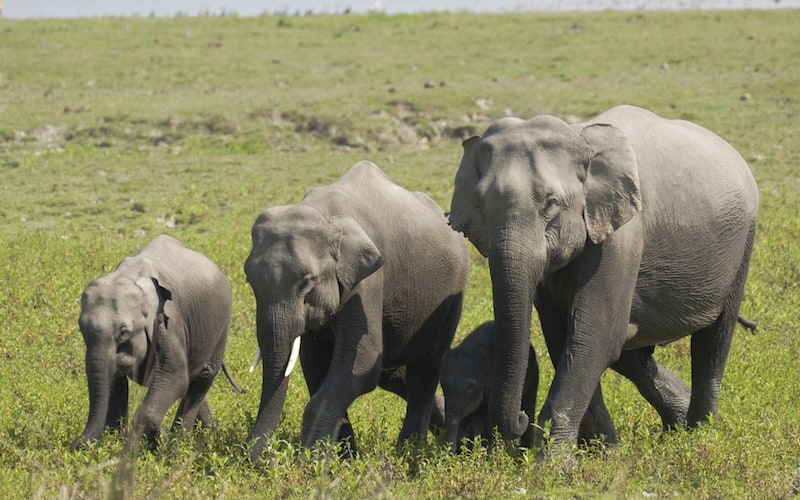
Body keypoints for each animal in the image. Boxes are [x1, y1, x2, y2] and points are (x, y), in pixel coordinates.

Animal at [70, 234, 241, 450]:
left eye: (123, 332)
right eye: (81, 329)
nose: (74, 445)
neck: (132, 277)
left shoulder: (170, 322)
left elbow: (175, 376)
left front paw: (161, 441)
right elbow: (116, 382)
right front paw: (117, 441)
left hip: (221, 329)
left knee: (201, 378)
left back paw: (180, 444)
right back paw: (209, 431)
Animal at [244, 160, 468, 460]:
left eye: (307, 282)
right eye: (249, 280)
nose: (254, 461)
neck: (325, 214)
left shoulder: (369, 280)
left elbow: (359, 362)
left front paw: (314, 461)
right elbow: (315, 365)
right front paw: (344, 457)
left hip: (452, 294)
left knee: (425, 368)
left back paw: (411, 452)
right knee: (396, 376)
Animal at [450, 104, 756, 454]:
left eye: (552, 203)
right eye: (479, 206)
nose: (523, 419)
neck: (578, 136)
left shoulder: (621, 235)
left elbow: (592, 338)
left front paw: (554, 462)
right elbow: (563, 336)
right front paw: (605, 451)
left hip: (743, 241)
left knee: (712, 342)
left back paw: (699, 434)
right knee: (632, 352)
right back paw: (677, 423)